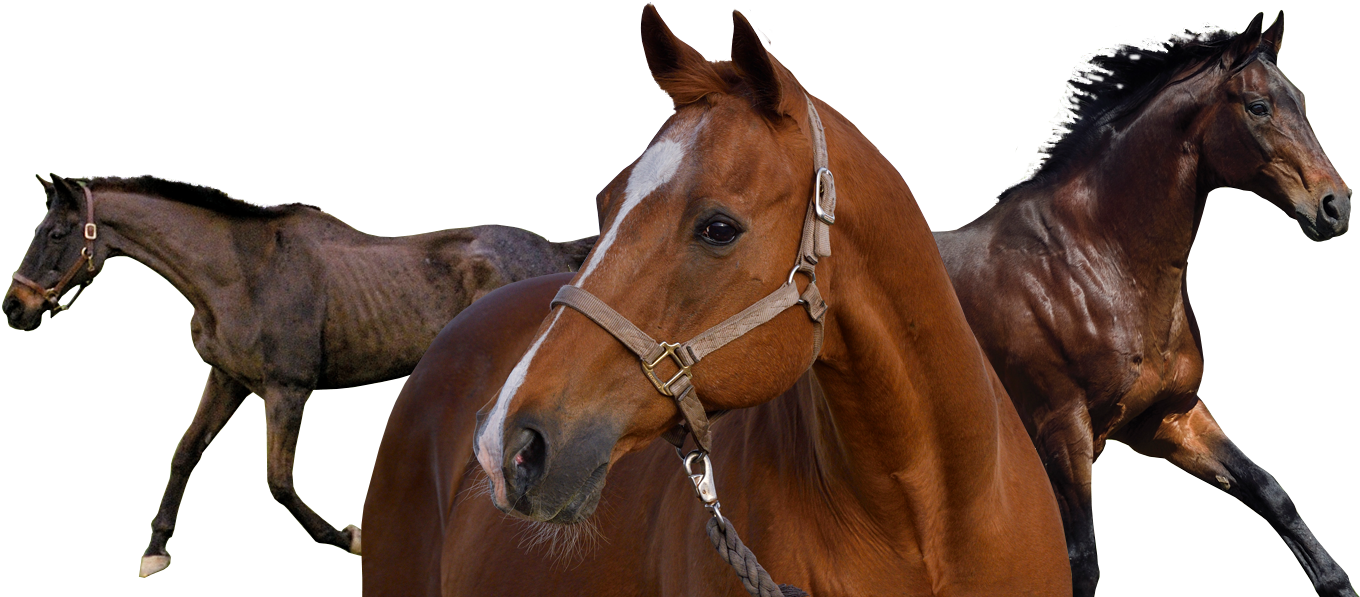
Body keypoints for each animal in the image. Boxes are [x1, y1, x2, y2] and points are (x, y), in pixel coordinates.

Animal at [2, 174, 596, 578]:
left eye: (56, 233)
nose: (14, 307)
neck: (242, 275)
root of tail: (557, 251)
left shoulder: (287, 390)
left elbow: (278, 481)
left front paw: (348, 536)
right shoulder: (227, 379)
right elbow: (187, 451)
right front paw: (156, 550)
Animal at [932, 13, 1353, 596]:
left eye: (1302, 100)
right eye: (1258, 106)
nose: (1336, 206)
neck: (1092, 263)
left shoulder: (1167, 417)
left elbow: (1270, 492)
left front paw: (1337, 583)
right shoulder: (1063, 430)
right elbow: (1081, 560)